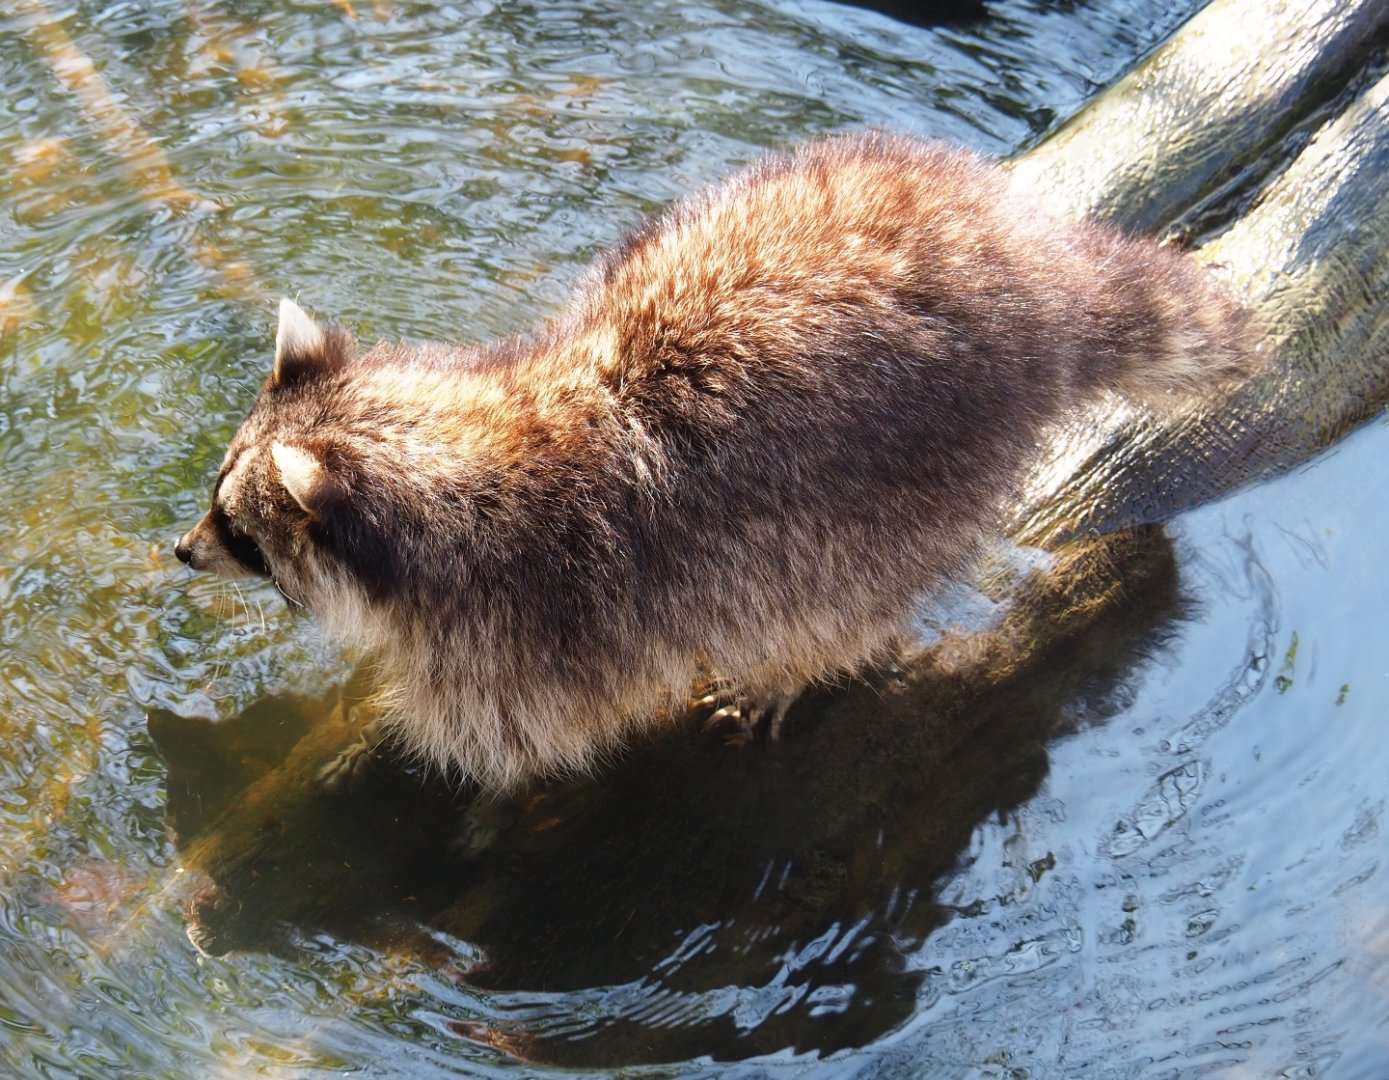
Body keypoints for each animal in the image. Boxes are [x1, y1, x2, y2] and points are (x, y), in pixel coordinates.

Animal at [175, 133, 1252, 790]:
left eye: (240, 529)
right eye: (217, 497)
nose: (181, 551)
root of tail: (1030, 279)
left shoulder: (527, 626)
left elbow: (503, 743)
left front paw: (393, 758)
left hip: (906, 479)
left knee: (838, 599)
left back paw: (793, 667)